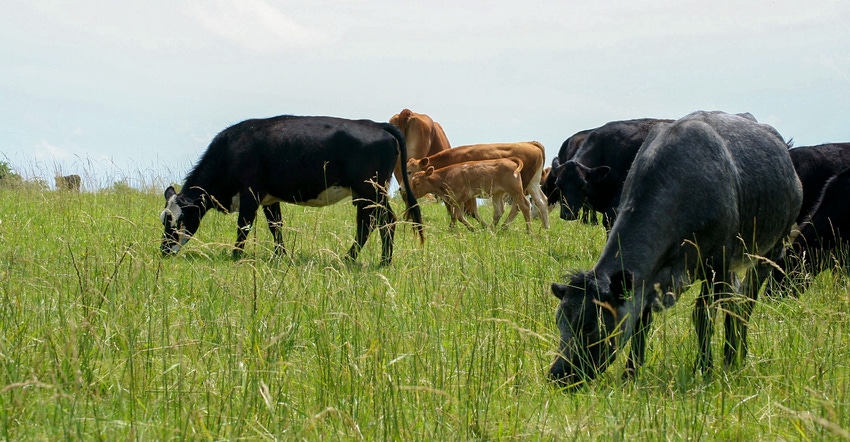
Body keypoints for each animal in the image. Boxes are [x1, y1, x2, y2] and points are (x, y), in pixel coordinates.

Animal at [157, 115, 422, 266]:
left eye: (177, 220)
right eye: (164, 219)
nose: (163, 251)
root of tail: (377, 125)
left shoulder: (250, 194)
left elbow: (244, 225)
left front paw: (235, 255)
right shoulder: (269, 199)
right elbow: (276, 226)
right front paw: (279, 255)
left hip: (370, 190)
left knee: (380, 221)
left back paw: (371, 260)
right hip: (369, 193)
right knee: (376, 222)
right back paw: (368, 259)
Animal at [548, 111, 800, 390]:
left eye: (590, 325)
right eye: (560, 322)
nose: (558, 374)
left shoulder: (717, 263)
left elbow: (703, 316)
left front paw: (705, 368)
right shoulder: (649, 278)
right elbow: (641, 322)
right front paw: (630, 374)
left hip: (769, 250)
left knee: (744, 304)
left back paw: (734, 356)